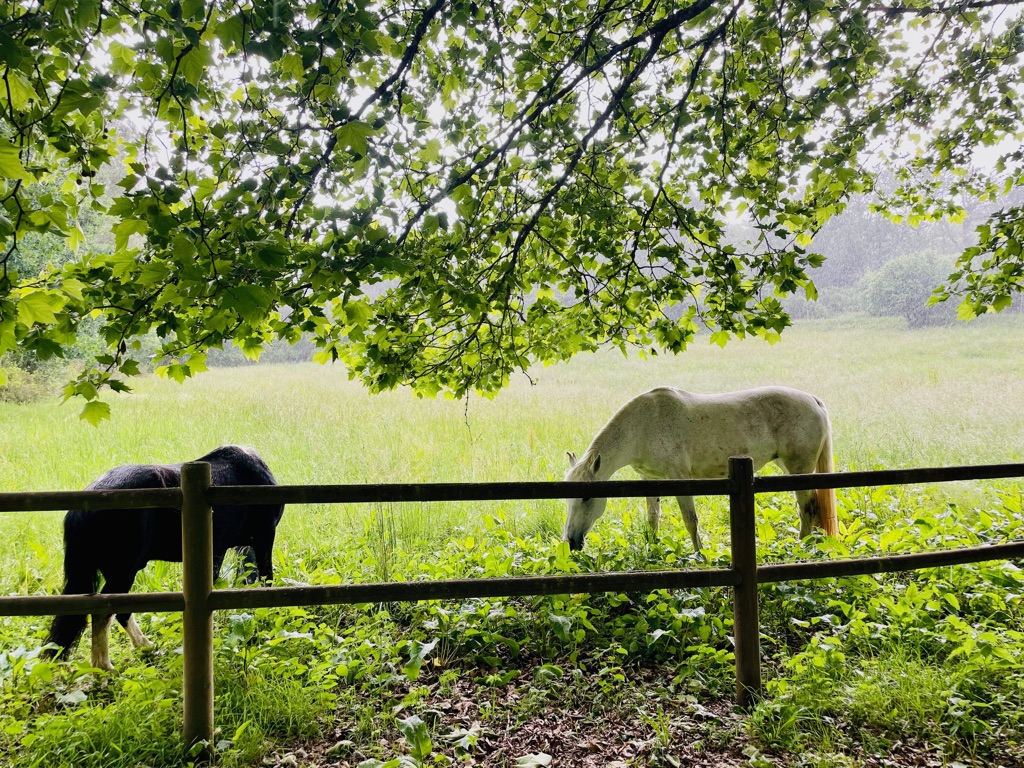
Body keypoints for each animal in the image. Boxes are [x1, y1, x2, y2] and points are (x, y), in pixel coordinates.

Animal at [43, 445, 284, 671]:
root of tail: (82, 508)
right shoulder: (263, 537)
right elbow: (266, 579)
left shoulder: (224, 548)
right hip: (124, 571)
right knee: (105, 612)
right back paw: (105, 666)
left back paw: (145, 648)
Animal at [563, 386, 838, 554]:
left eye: (586, 497)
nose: (571, 541)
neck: (643, 425)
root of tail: (813, 400)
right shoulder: (649, 479)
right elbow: (653, 518)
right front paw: (652, 550)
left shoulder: (680, 478)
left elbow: (690, 520)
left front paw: (700, 556)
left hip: (799, 468)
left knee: (808, 508)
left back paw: (801, 547)